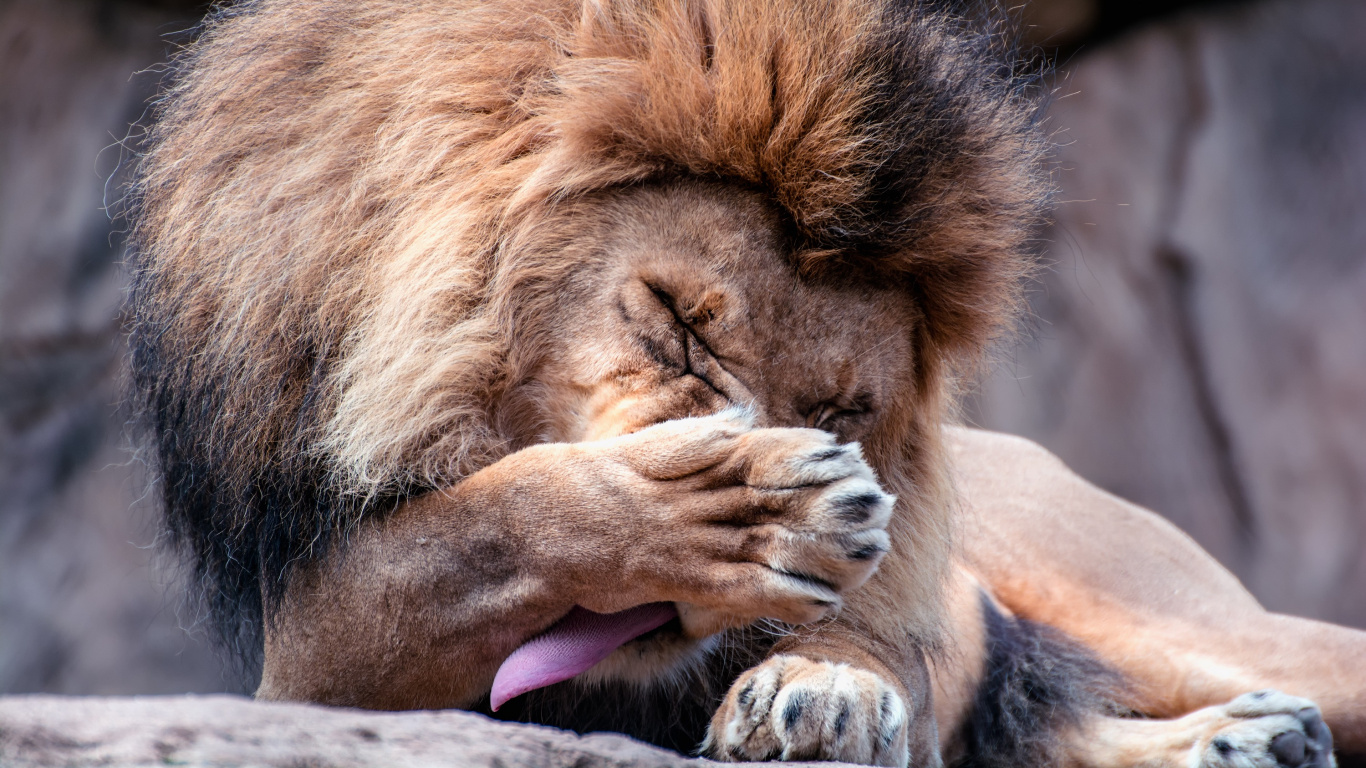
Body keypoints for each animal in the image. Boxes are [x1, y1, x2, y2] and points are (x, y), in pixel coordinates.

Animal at [126, 0, 1366, 766]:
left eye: (843, 411)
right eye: (676, 327)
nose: (810, 469)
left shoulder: (911, 573)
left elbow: (885, 635)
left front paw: (823, 681)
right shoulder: (306, 656)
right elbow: (483, 524)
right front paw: (738, 508)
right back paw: (1243, 741)